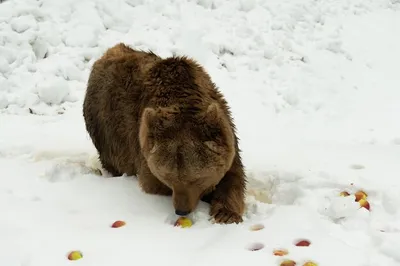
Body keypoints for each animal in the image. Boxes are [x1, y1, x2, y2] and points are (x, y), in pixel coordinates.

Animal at [83, 42, 247, 223]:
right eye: (168, 177)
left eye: (197, 179)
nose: (181, 210)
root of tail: (108, 52)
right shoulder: (142, 146)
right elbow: (151, 183)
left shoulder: (226, 131)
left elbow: (234, 177)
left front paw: (225, 213)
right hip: (105, 130)